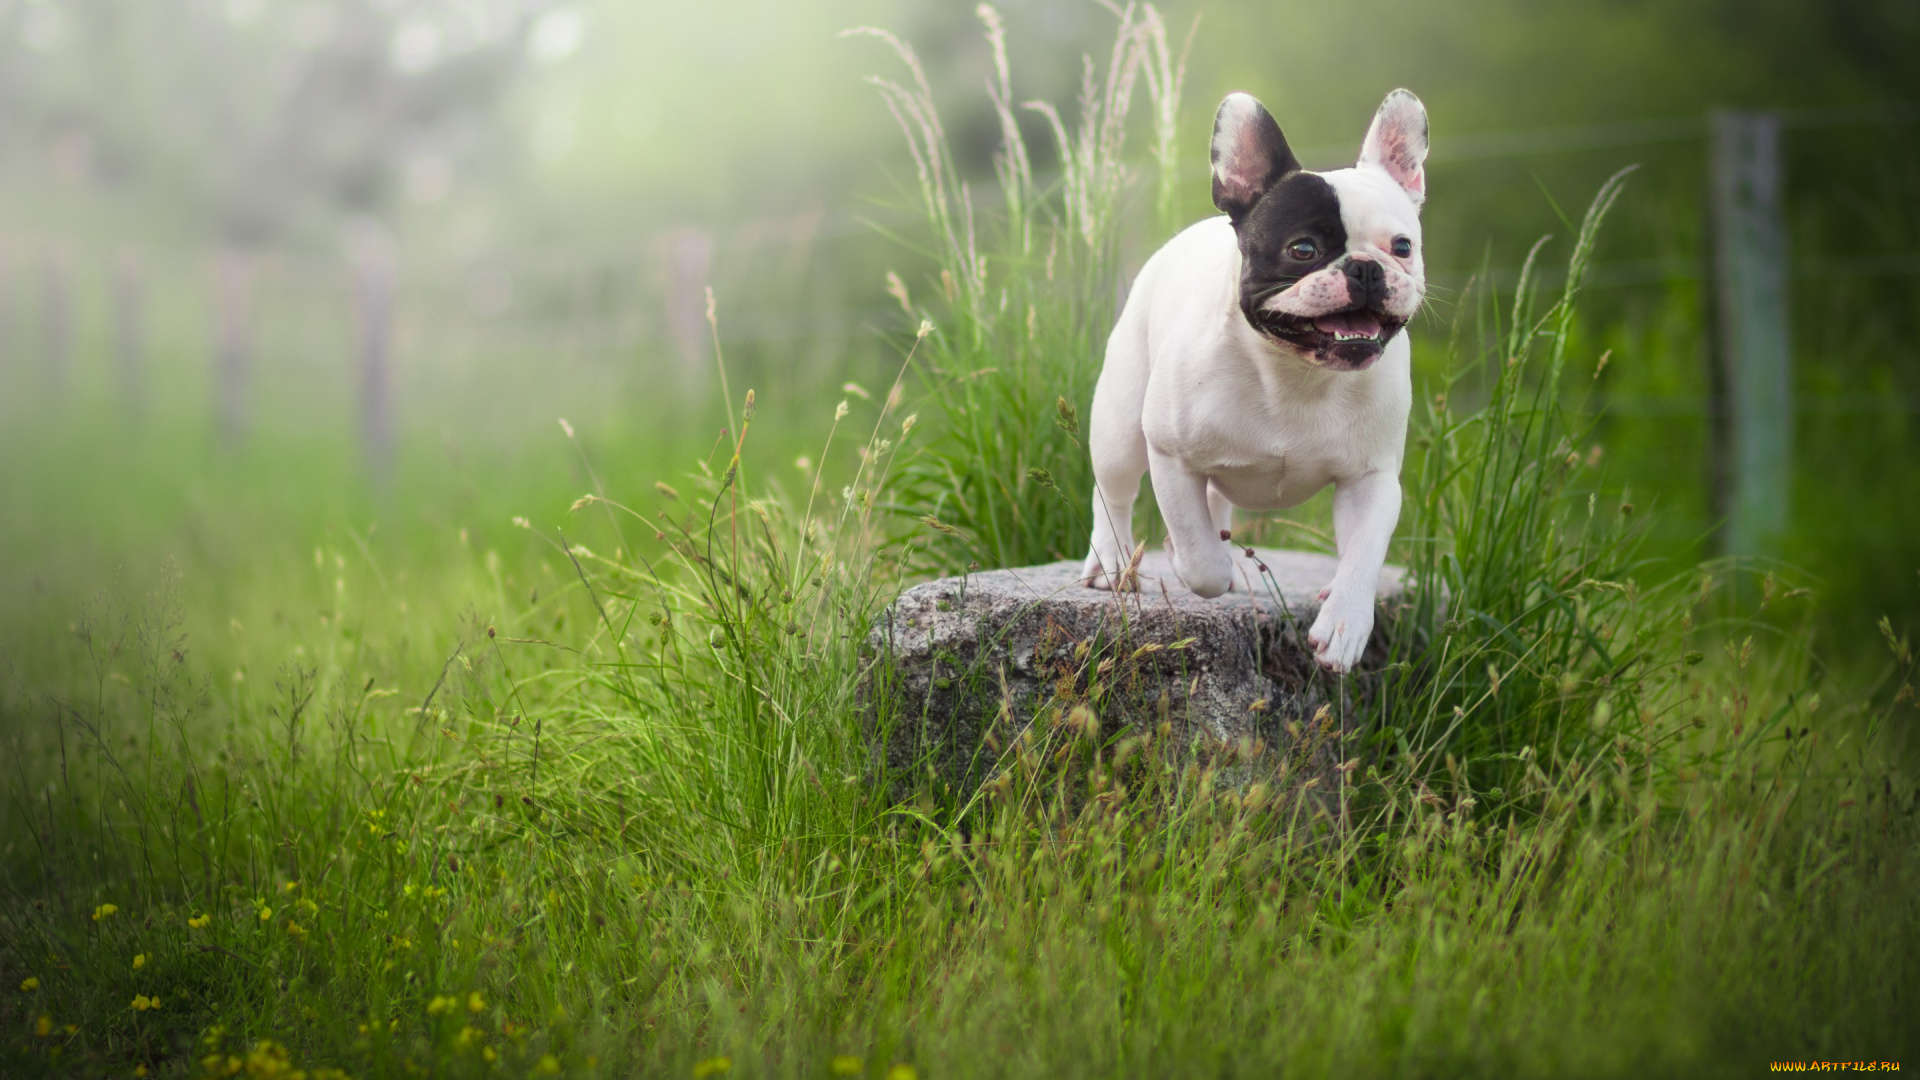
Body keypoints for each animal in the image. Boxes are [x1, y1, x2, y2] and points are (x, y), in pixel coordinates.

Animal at [1082, 90, 1428, 672]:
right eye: (1303, 250)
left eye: (1402, 246)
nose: (1365, 268)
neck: (1297, 372)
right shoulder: (1171, 456)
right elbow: (1201, 561)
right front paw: (1196, 566)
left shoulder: (1372, 478)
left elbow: (1363, 554)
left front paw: (1344, 621)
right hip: (1120, 427)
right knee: (1114, 494)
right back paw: (1109, 562)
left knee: (1213, 502)